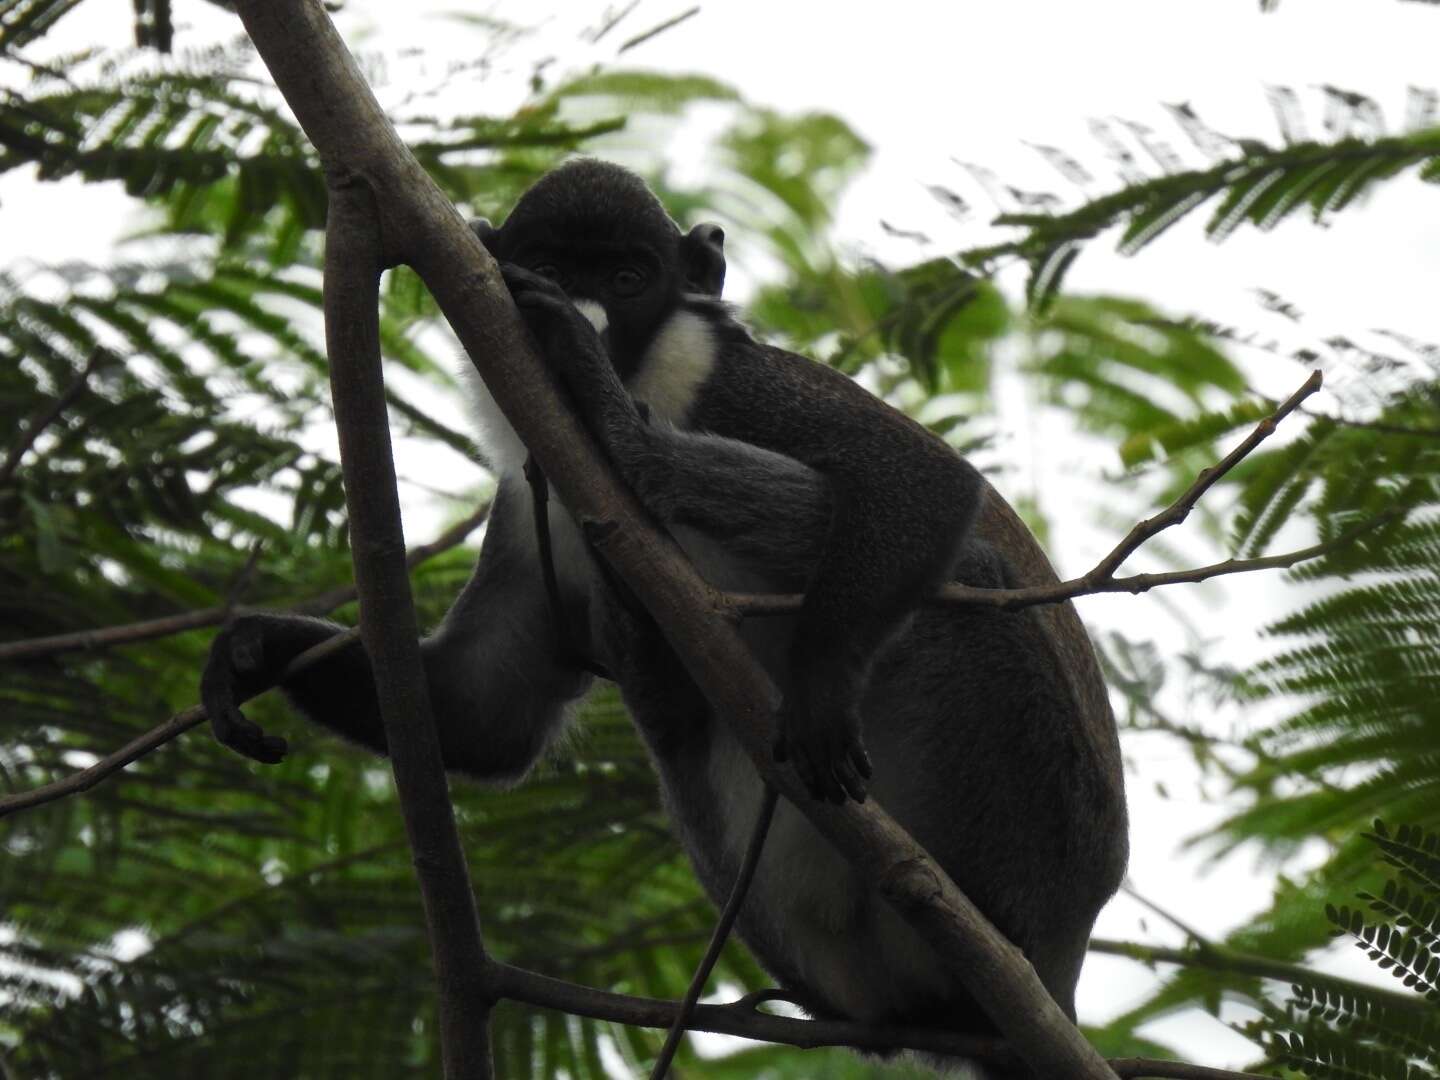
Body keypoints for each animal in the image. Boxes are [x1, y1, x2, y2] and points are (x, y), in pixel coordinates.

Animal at [200, 158, 1123, 1077]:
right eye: (550, 263)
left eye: (625, 279)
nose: (583, 315)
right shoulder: (527, 502)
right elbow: (479, 715)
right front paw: (251, 651)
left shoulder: (740, 385)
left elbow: (925, 485)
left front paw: (818, 690)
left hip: (1033, 840)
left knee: (964, 575)